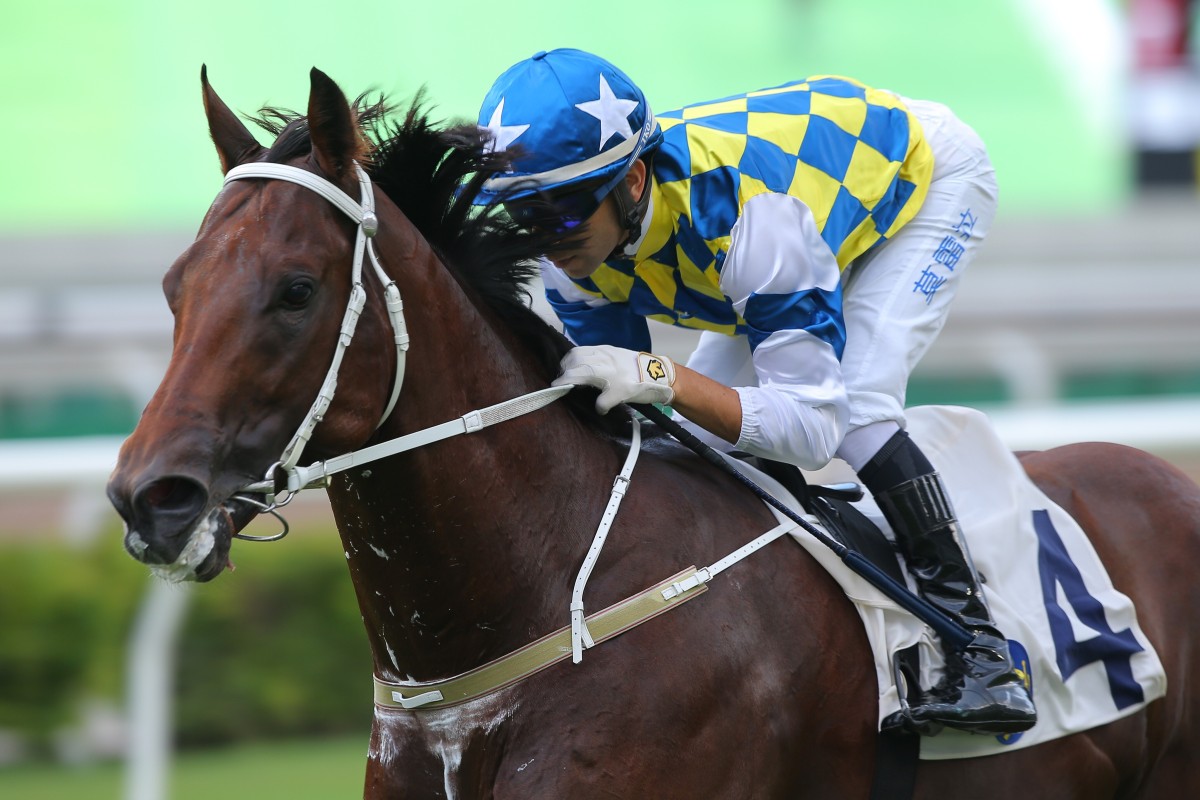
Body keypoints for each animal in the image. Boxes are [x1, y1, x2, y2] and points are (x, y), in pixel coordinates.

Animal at [105, 70, 1200, 800]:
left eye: (295, 290)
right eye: (172, 285)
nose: (149, 496)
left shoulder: (773, 245)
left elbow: (819, 410)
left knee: (862, 415)